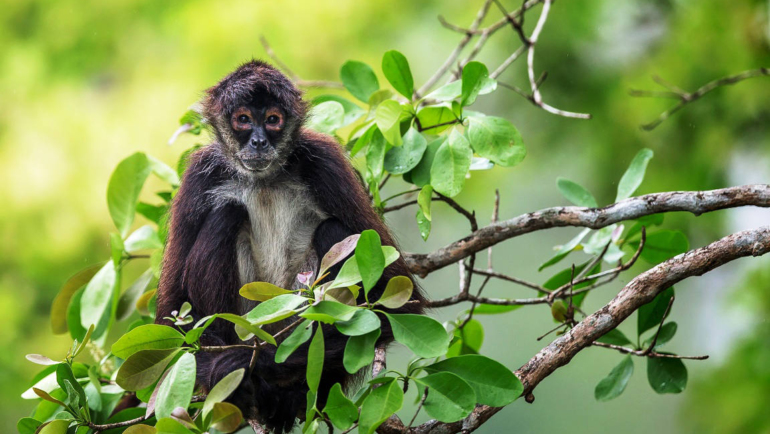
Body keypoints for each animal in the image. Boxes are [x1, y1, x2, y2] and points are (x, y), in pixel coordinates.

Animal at [154, 62, 424, 434]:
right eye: (242, 119)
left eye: (272, 119)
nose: (258, 140)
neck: (264, 180)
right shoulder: (199, 175)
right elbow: (171, 320)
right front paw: (226, 370)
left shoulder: (324, 160)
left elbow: (395, 307)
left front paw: (246, 363)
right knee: (227, 212)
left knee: (331, 229)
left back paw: (286, 394)